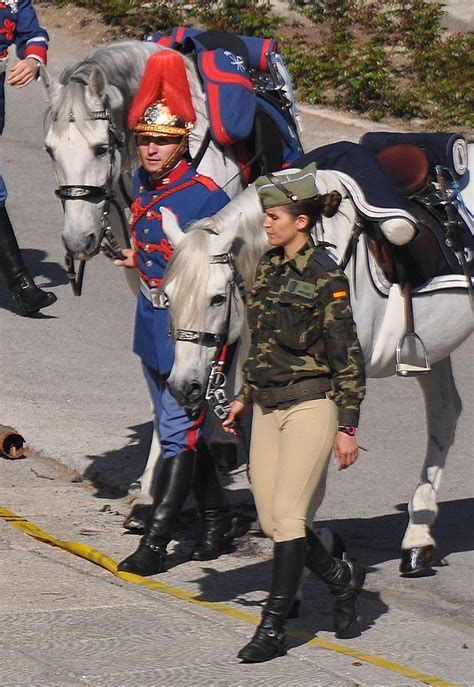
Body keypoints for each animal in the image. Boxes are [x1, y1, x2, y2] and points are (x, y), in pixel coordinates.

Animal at [42, 40, 243, 528]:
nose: (78, 239)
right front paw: (155, 490)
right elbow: (161, 382)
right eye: (51, 151)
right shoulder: (149, 288)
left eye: (100, 148)